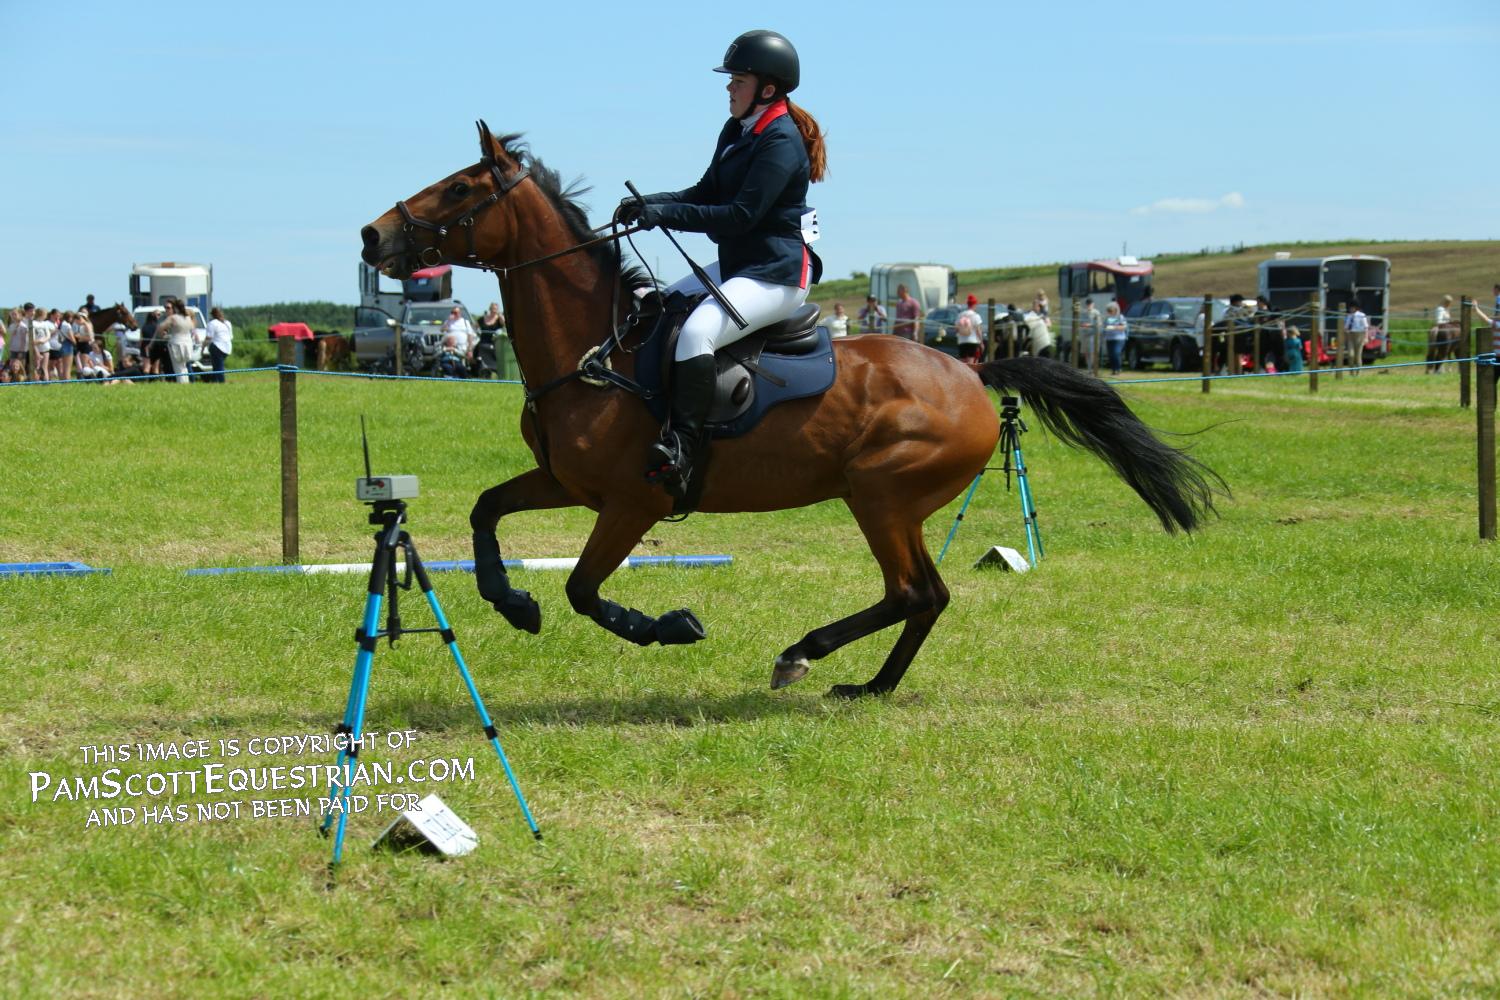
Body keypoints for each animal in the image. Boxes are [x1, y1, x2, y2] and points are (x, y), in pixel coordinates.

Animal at [359, 122, 1224, 698]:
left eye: (461, 187)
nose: (371, 234)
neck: (597, 352)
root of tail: (973, 372)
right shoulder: (568, 482)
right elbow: (485, 512)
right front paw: (513, 603)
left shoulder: (633, 501)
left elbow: (582, 588)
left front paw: (669, 625)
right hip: (892, 503)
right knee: (927, 595)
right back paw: (869, 684)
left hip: (879, 495)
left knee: (913, 593)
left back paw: (808, 656)